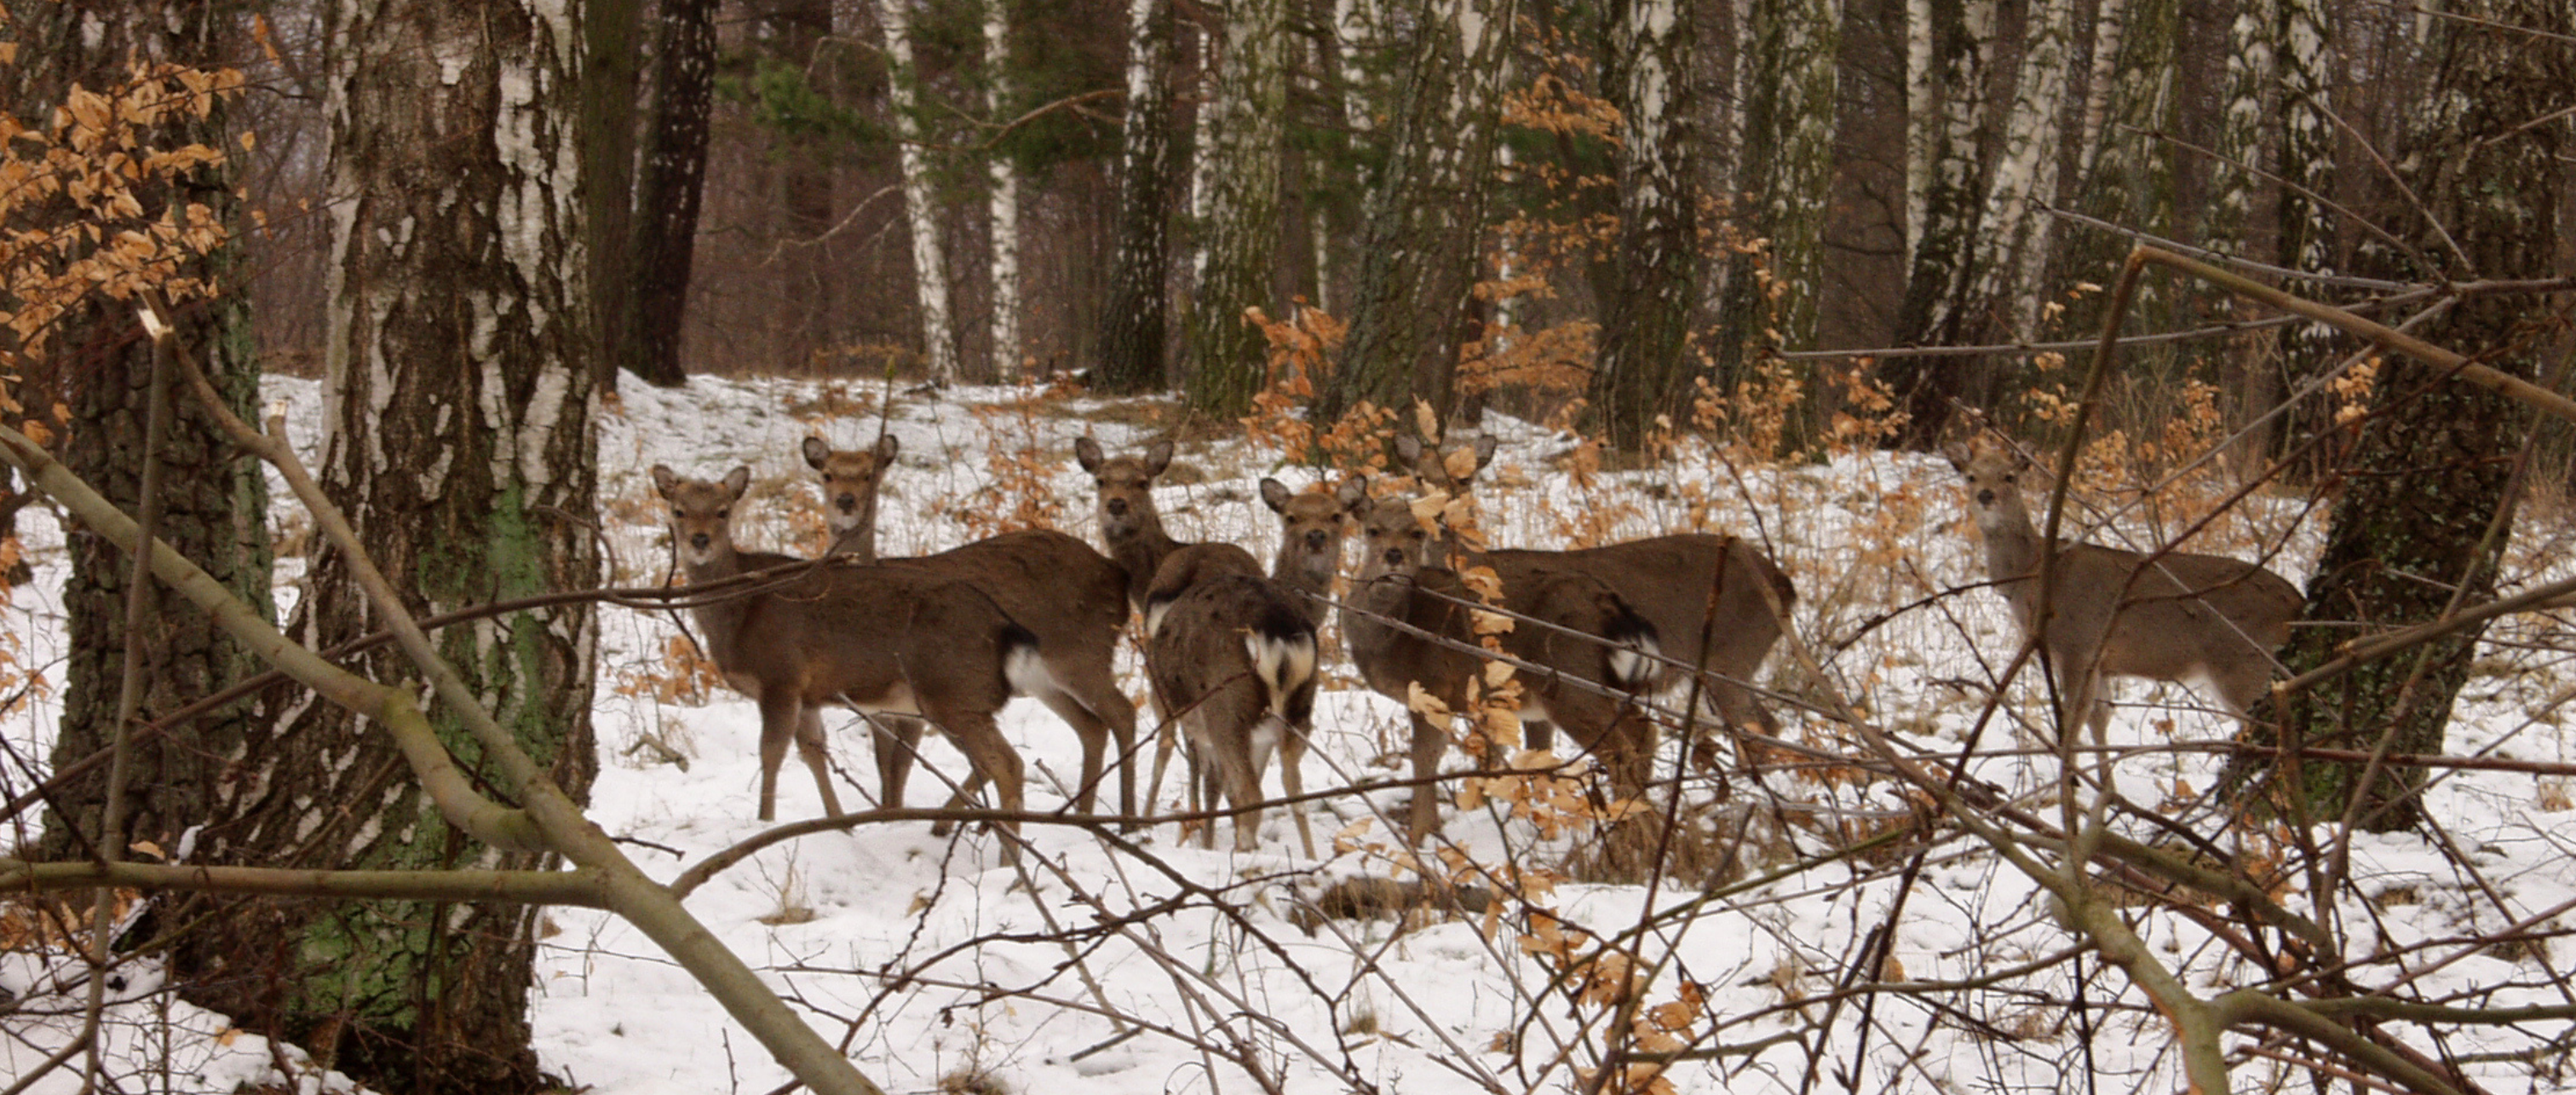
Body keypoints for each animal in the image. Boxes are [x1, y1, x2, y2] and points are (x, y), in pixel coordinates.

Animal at [649, 461, 1040, 834]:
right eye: (679, 510)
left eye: (723, 511)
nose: (700, 540)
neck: (738, 616)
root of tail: (1003, 626)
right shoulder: (807, 693)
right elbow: (814, 753)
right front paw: (839, 824)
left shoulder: (781, 675)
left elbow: (771, 753)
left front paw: (765, 822)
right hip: (959, 697)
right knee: (998, 761)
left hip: (953, 690)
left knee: (1007, 763)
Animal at [793, 435, 1138, 819]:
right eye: (827, 474)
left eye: (870, 474)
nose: (846, 501)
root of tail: (1117, 575)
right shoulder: (878, 706)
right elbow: (887, 767)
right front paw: (888, 816)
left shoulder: (915, 703)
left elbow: (901, 767)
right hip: (1046, 679)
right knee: (1091, 726)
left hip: (1081, 653)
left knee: (1122, 713)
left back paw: (1127, 818)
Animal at [1339, 481, 1659, 839]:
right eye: (1373, 530)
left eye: (1417, 532)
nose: (1393, 555)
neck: (1389, 637)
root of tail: (1610, 603)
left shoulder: (1430, 685)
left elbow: (1425, 758)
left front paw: (1421, 835)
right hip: (1611, 684)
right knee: (1645, 731)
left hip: (1571, 680)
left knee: (1621, 751)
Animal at [1401, 429, 1803, 757]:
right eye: (1419, 476)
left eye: (1464, 478)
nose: (1437, 514)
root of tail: (1785, 584)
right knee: (1768, 724)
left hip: (1731, 658)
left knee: (1758, 729)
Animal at [1937, 441, 2308, 736]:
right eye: (1970, 476)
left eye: (2010, 476)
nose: (1986, 496)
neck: (2034, 576)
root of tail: (2297, 600)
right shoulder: (2100, 662)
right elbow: (2099, 719)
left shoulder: (2078, 644)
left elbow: (2072, 723)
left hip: (2247, 665)